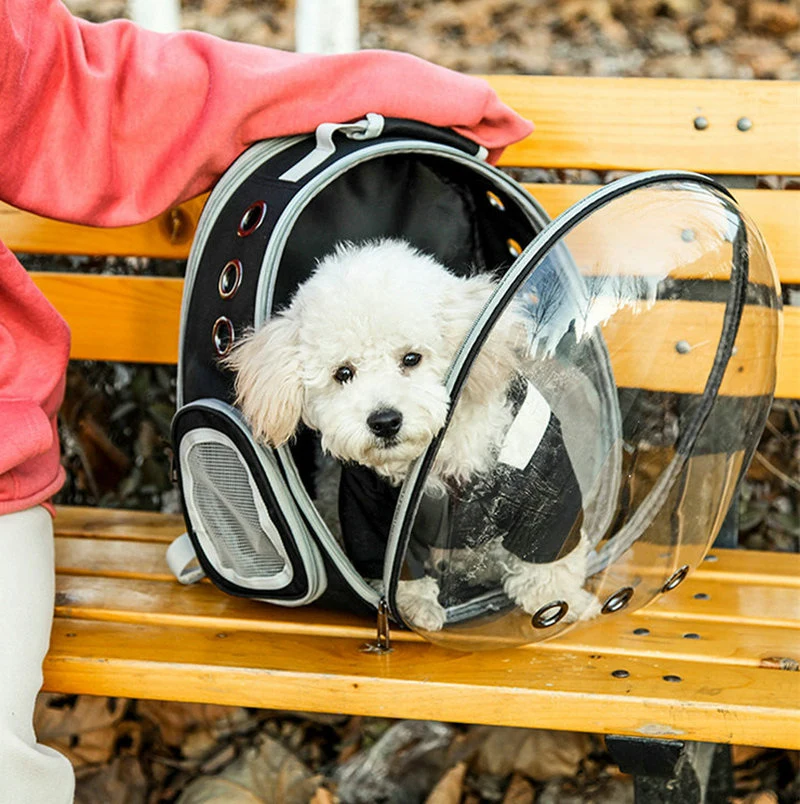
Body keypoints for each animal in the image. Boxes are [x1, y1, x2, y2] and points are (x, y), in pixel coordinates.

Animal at [225, 242, 592, 632]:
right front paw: (416, 606)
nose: (385, 421)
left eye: (411, 358)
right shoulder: (369, 507)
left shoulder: (546, 485)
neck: (441, 454)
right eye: (343, 373)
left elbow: (550, 551)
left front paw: (561, 601)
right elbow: (395, 564)